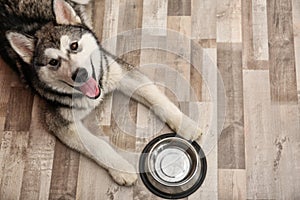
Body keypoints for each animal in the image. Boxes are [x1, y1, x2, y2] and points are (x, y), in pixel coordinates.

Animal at [0, 0, 202, 186]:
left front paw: (185, 124)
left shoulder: (121, 72)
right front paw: (121, 169)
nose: (80, 74)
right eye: (53, 62)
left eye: (74, 46)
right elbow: (97, 145)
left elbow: (157, 98)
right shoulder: (59, 121)